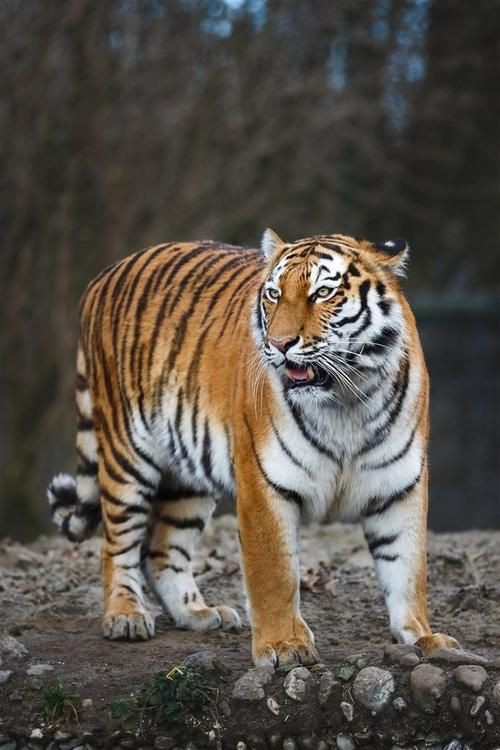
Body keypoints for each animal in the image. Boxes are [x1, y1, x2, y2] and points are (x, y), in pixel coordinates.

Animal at [47, 229, 459, 669]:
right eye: (274, 294)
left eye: (323, 293)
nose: (279, 344)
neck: (346, 400)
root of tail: (105, 275)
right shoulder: (264, 482)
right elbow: (274, 573)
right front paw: (283, 646)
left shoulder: (400, 486)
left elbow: (408, 571)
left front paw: (424, 638)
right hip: (127, 454)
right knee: (118, 544)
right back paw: (125, 616)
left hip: (186, 474)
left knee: (161, 548)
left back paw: (198, 613)